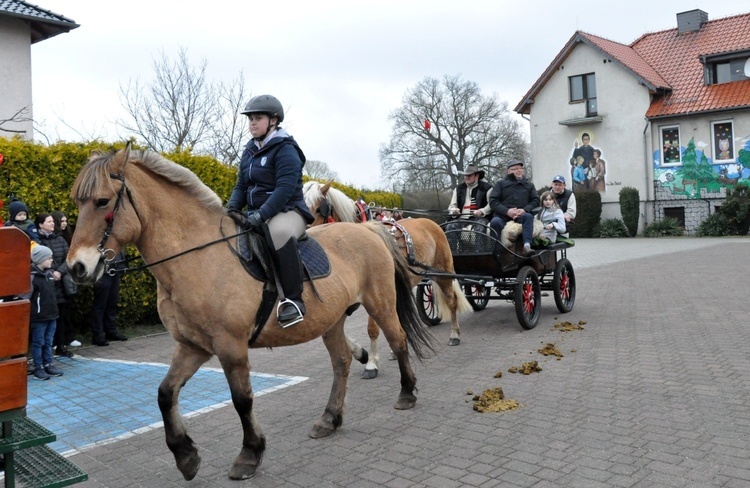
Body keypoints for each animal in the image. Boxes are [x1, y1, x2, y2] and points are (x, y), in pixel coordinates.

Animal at [69, 146, 440, 480]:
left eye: (102, 202)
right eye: (77, 202)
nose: (76, 268)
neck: (196, 257)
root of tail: (370, 230)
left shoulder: (230, 347)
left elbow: (242, 399)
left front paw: (249, 454)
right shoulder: (193, 346)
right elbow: (165, 394)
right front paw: (186, 456)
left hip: (381, 304)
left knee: (398, 340)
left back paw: (407, 394)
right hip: (332, 321)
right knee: (341, 362)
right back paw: (330, 419)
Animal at [304, 179, 470, 378]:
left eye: (316, 210)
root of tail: (433, 224)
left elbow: (372, 329)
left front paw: (371, 363)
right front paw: (361, 353)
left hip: (442, 273)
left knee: (451, 301)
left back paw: (455, 335)